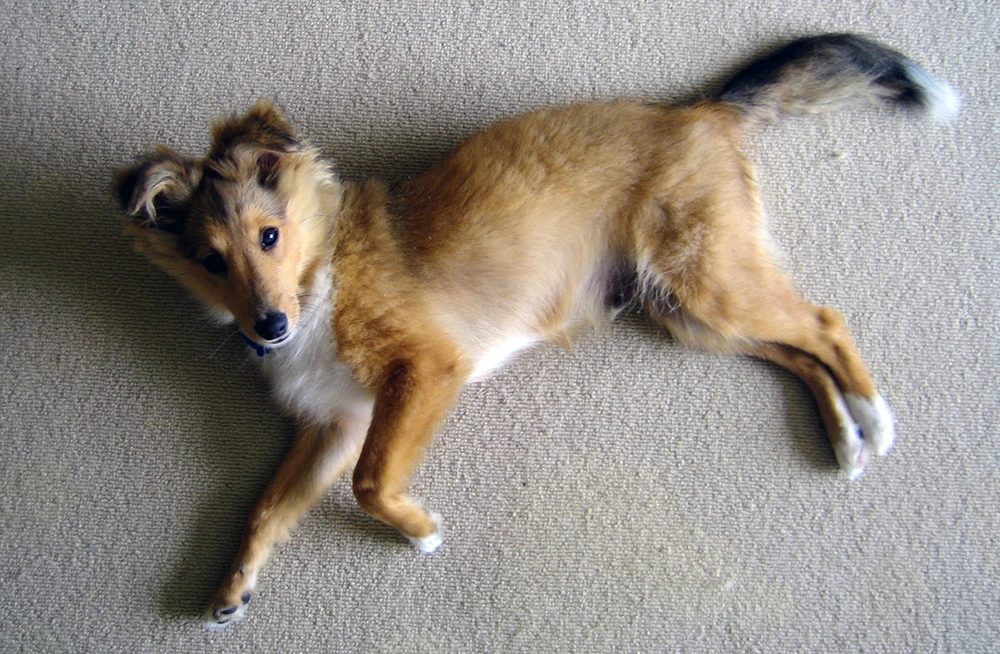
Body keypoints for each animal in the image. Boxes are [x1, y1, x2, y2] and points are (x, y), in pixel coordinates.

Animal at [113, 33, 956, 628]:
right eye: (210, 260)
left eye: (269, 236)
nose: (270, 326)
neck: (325, 277)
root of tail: (697, 110)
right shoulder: (337, 422)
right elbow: (265, 507)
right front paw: (232, 586)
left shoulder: (423, 370)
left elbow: (371, 482)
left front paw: (420, 530)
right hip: (686, 310)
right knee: (798, 351)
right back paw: (844, 439)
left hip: (707, 282)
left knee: (824, 323)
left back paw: (874, 419)